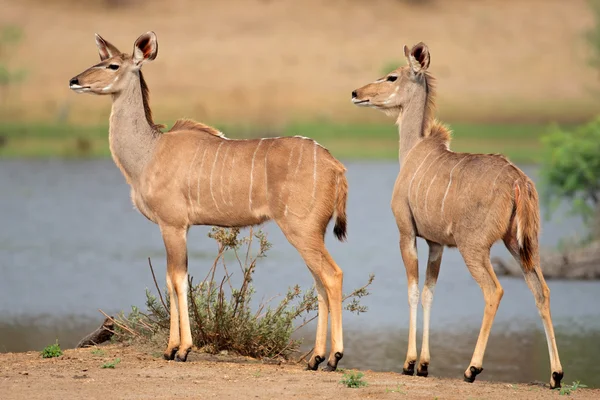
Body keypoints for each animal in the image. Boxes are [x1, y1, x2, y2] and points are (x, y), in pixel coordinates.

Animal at [69, 32, 352, 372]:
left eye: (112, 65)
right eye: (99, 59)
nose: (74, 80)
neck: (149, 153)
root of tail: (336, 166)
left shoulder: (173, 224)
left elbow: (177, 280)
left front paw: (179, 350)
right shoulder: (178, 227)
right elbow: (172, 279)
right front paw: (172, 349)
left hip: (301, 229)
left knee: (332, 275)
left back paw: (333, 358)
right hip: (311, 232)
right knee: (319, 280)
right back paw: (315, 358)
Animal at [352, 43, 564, 388]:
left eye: (392, 76)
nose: (357, 92)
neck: (413, 152)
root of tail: (519, 181)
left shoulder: (407, 233)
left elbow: (413, 291)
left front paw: (409, 363)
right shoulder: (437, 245)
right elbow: (429, 293)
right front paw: (425, 364)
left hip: (474, 247)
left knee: (494, 290)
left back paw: (472, 369)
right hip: (520, 245)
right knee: (541, 290)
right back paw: (556, 375)